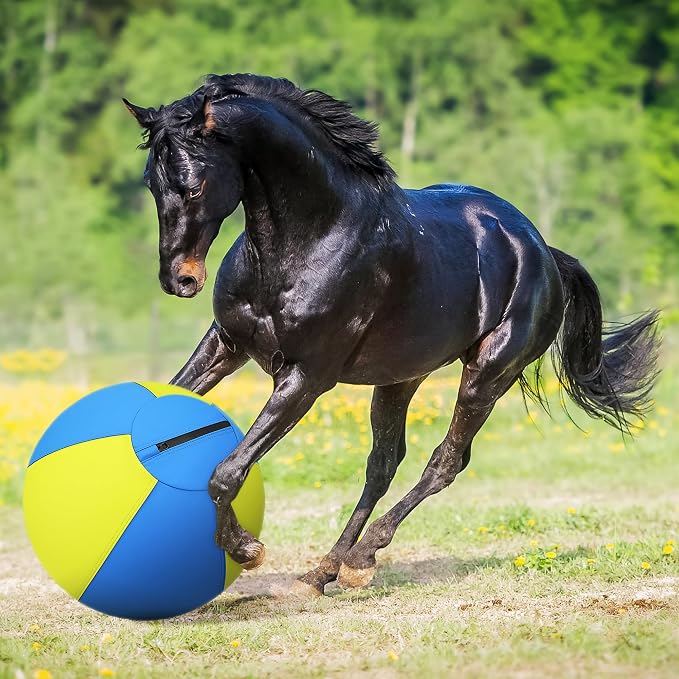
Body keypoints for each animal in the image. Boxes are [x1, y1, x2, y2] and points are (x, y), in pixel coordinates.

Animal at [124, 73, 659, 596]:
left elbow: (227, 472)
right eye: (152, 182)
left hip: (489, 373)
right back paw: (324, 571)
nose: (179, 280)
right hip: (400, 377)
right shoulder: (227, 344)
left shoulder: (305, 378)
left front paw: (246, 549)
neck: (308, 237)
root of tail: (543, 250)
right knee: (383, 463)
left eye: (193, 186)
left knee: (445, 461)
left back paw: (360, 560)